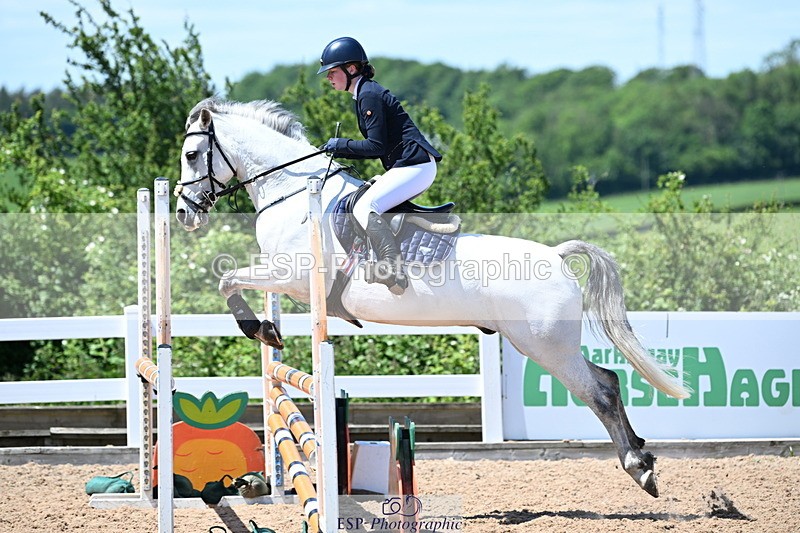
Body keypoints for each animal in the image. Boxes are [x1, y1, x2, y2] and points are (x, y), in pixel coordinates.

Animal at [175, 97, 690, 498]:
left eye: (192, 154)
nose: (183, 213)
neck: (291, 193)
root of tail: (558, 256)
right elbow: (231, 281)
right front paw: (267, 330)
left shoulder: (292, 277)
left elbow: (227, 280)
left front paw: (258, 328)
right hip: (550, 345)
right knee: (609, 380)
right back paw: (642, 457)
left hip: (546, 346)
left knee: (599, 392)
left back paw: (639, 468)